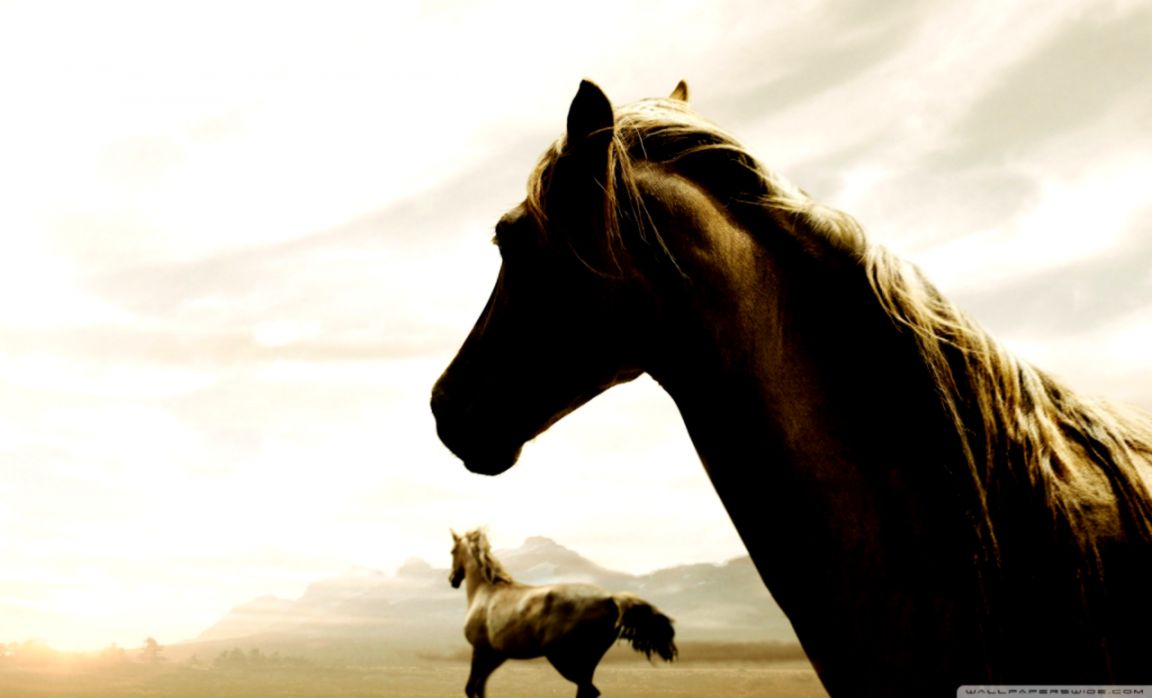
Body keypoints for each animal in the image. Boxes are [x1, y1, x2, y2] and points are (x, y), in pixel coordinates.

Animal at [447, 528, 676, 698]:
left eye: (452, 551)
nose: (452, 579)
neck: (486, 591)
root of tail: (611, 599)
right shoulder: (496, 655)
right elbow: (480, 689)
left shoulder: (480, 650)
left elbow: (471, 688)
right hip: (586, 661)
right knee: (588, 690)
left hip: (563, 658)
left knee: (589, 690)